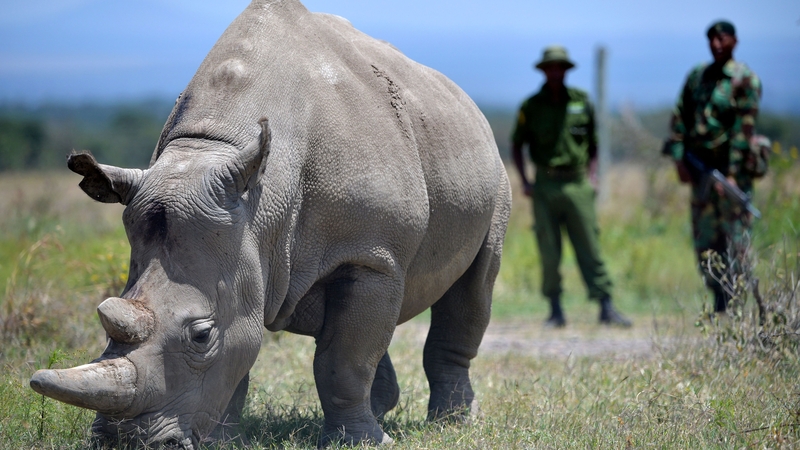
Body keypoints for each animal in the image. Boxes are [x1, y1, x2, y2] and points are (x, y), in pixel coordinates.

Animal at [29, 0, 511, 447]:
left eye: (201, 335)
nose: (125, 442)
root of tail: (466, 101)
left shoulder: (370, 254)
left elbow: (344, 361)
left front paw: (363, 443)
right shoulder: (245, 241)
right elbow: (248, 347)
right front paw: (224, 441)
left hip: (494, 174)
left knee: (474, 285)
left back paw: (452, 422)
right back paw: (384, 408)